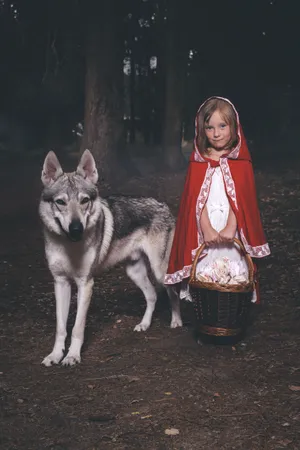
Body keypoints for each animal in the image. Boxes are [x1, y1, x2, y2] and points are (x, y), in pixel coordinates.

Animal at [38, 150, 182, 366]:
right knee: (152, 295)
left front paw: (72, 356)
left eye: (84, 200)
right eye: (60, 202)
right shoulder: (60, 283)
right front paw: (55, 355)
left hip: (159, 270)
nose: (76, 228)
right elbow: (61, 328)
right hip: (134, 272)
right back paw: (144, 324)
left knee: (173, 293)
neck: (69, 246)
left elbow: (77, 327)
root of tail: (162, 203)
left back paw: (176, 321)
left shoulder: (85, 284)